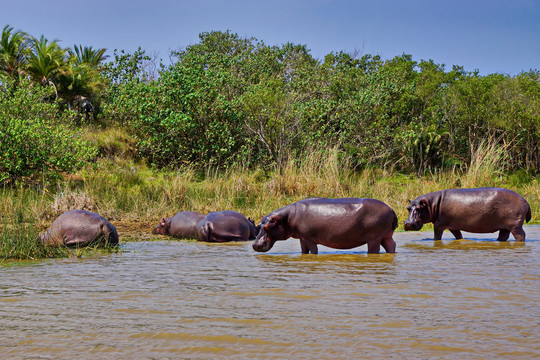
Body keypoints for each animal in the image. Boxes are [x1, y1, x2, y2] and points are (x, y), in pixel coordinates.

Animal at [252, 198, 396, 255]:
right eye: (258, 226)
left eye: (267, 227)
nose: (254, 245)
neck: (287, 218)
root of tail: (391, 209)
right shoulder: (302, 238)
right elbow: (304, 251)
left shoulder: (308, 238)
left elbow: (313, 250)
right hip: (386, 236)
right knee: (391, 246)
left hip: (374, 239)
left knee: (374, 250)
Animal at [404, 187, 532, 240]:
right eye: (408, 208)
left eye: (419, 208)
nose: (408, 223)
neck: (432, 204)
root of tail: (525, 200)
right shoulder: (453, 226)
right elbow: (458, 236)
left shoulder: (439, 224)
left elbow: (437, 236)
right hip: (505, 226)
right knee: (503, 236)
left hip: (515, 225)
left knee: (521, 235)